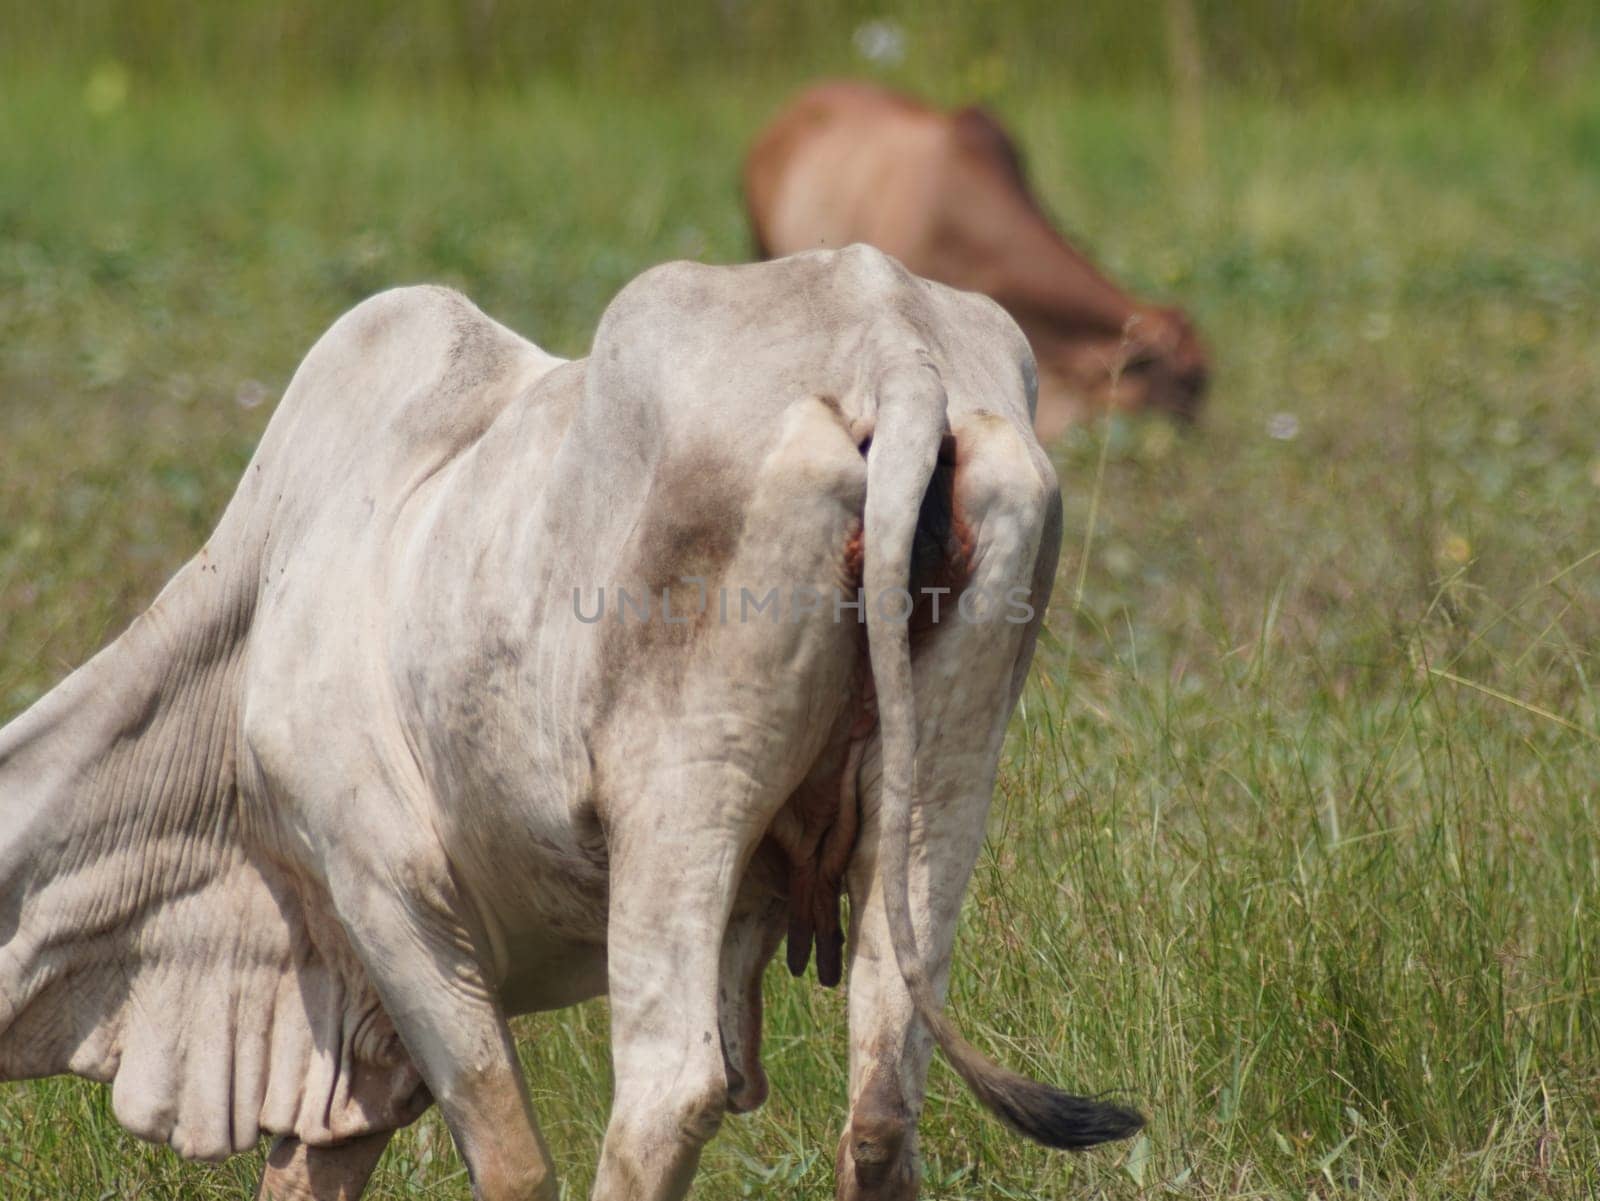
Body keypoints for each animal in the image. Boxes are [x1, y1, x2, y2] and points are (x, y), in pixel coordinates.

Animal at [6, 246, 1145, 1201]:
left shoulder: (383, 886)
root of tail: (892, 348)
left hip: (677, 801)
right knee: (883, 1094)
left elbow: (507, 1157)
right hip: (940, 792)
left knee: (669, 1087)